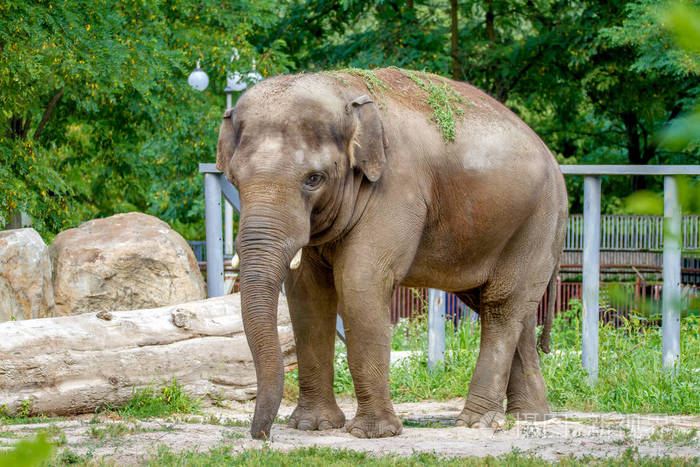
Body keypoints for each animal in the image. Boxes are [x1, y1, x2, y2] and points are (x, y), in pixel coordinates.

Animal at [217, 67, 568, 440]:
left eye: (314, 179)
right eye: (234, 179)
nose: (263, 435)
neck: (342, 90)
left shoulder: (396, 187)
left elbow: (360, 282)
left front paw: (373, 433)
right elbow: (307, 292)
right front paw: (312, 426)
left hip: (539, 222)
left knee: (502, 308)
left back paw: (477, 422)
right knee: (508, 310)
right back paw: (530, 416)